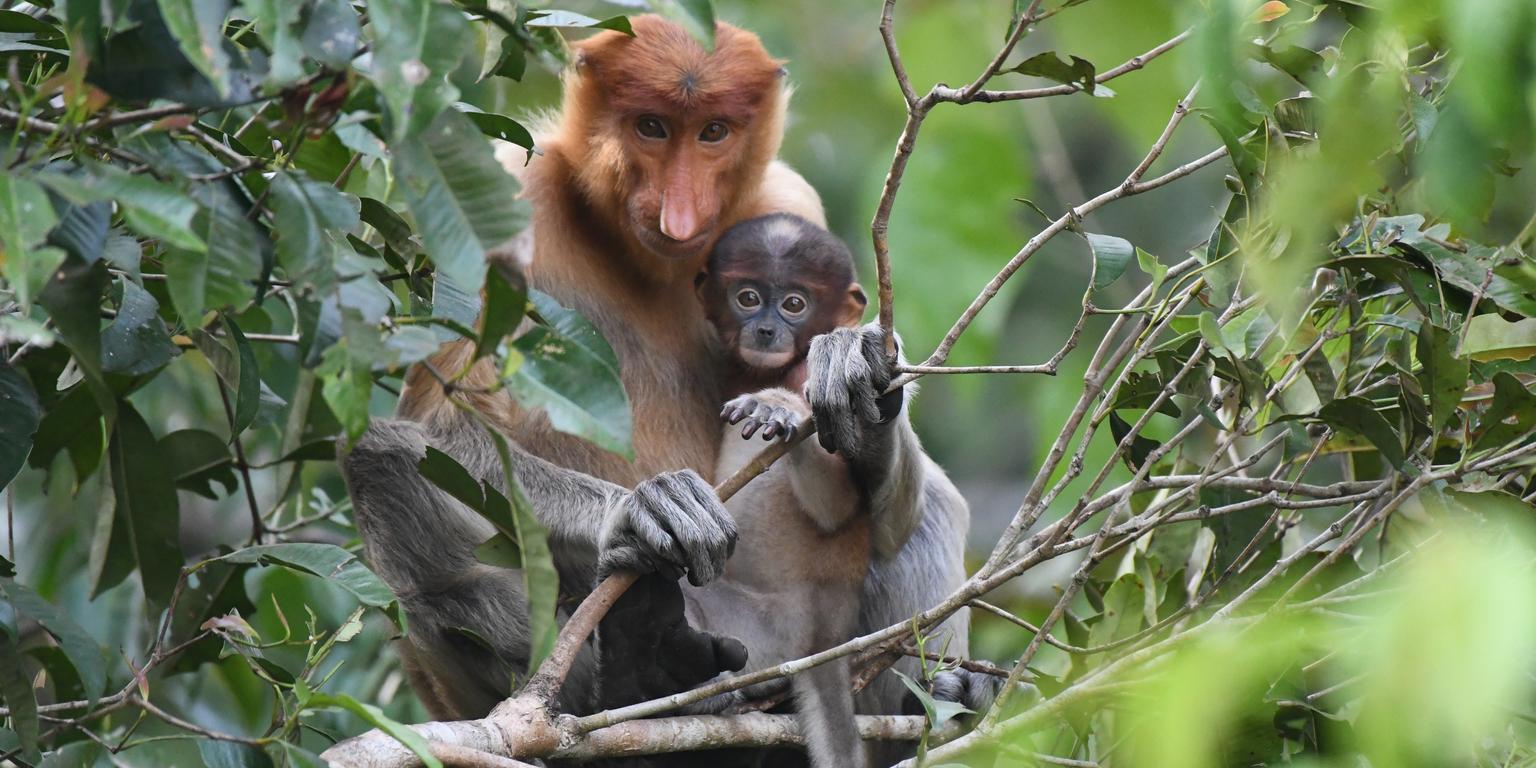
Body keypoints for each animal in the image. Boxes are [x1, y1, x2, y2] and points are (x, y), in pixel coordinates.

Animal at [340, 15, 990, 756]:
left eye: (713, 132)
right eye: (651, 127)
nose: (680, 215)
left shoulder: (789, 196)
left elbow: (874, 503)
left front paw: (855, 375)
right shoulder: (500, 198)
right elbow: (441, 422)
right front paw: (642, 510)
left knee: (925, 503)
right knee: (381, 458)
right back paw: (641, 669)